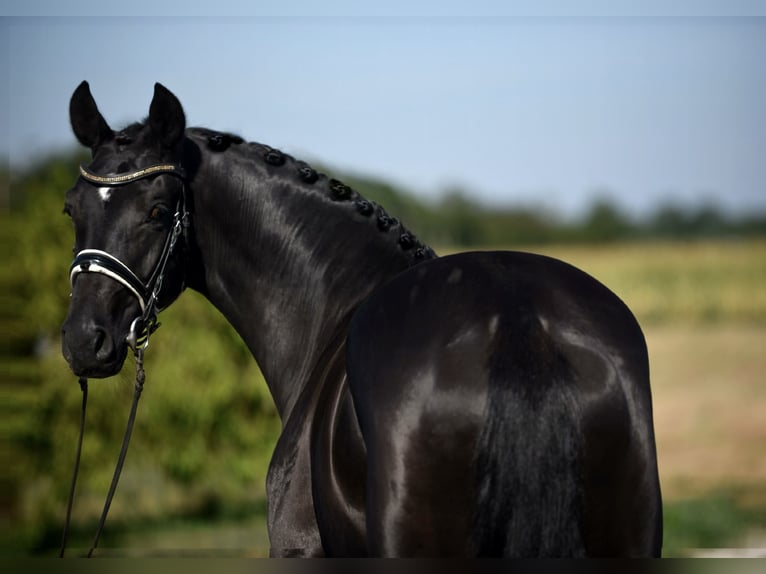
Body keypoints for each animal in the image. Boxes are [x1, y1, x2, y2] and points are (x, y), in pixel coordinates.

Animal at [60, 82, 664, 560]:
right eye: (71, 208)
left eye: (158, 211)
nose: (84, 342)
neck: (335, 302)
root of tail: (520, 323)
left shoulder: (298, 546)